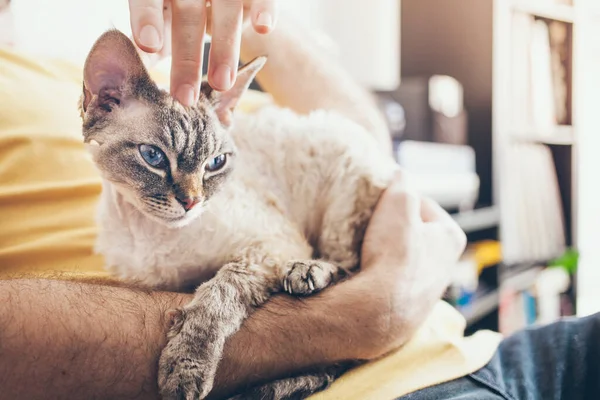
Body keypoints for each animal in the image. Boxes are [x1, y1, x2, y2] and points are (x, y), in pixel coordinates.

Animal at [79, 29, 398, 398]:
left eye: (216, 163)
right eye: (153, 157)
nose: (192, 202)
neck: (150, 236)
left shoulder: (268, 246)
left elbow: (218, 291)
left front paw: (185, 368)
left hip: (341, 196)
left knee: (347, 270)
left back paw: (309, 273)